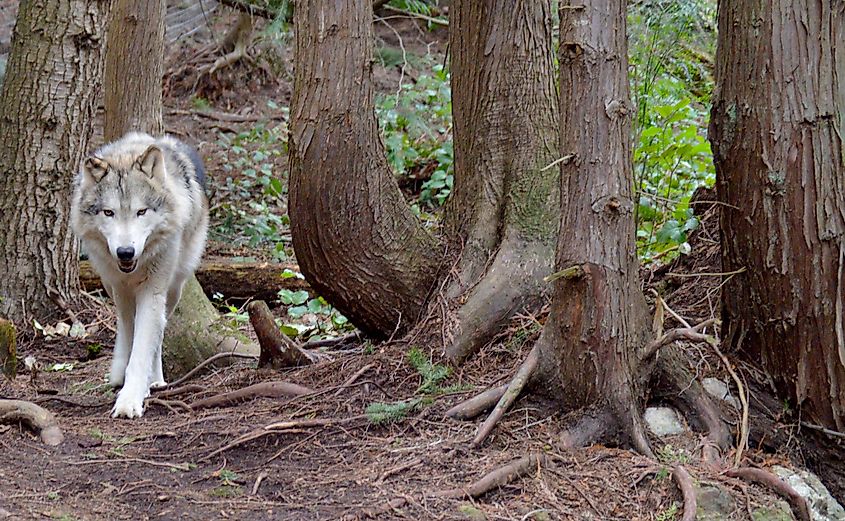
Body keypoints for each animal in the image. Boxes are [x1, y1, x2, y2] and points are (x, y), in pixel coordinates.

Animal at [72, 131, 211, 418]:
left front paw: (130, 400)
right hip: (111, 285)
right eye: (109, 212)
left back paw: (154, 380)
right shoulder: (120, 288)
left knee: (160, 328)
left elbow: (144, 345)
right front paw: (123, 379)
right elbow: (129, 333)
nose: (125, 252)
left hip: (174, 288)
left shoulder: (152, 290)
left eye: (141, 212)